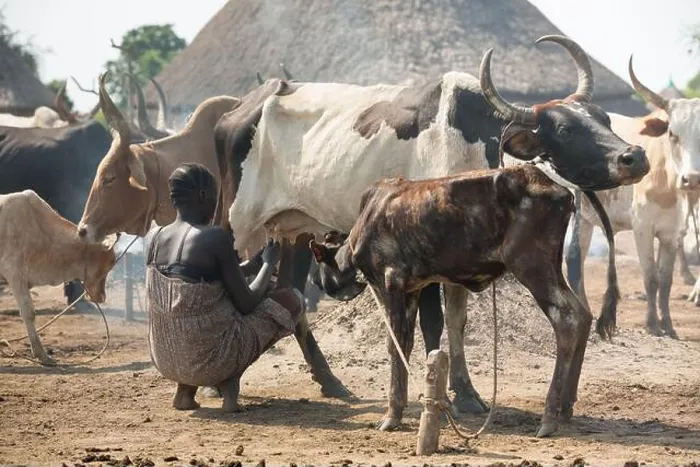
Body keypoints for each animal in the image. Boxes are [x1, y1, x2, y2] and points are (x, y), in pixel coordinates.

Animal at [215, 36, 649, 409]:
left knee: (289, 293)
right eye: (564, 128)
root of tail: (241, 107)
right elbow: (433, 323)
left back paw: (330, 381)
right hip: (236, 222)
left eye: (604, 117)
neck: (477, 138)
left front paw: (467, 393)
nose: (635, 156)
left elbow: (457, 321)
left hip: (293, 228)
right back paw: (221, 385)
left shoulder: (459, 256)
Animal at [566, 57, 700, 338]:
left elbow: (666, 280)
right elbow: (651, 278)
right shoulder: (643, 228)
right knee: (571, 259)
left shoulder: (672, 232)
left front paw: (668, 325)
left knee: (577, 259)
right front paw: (652, 324)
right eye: (672, 133)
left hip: (587, 219)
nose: (692, 179)